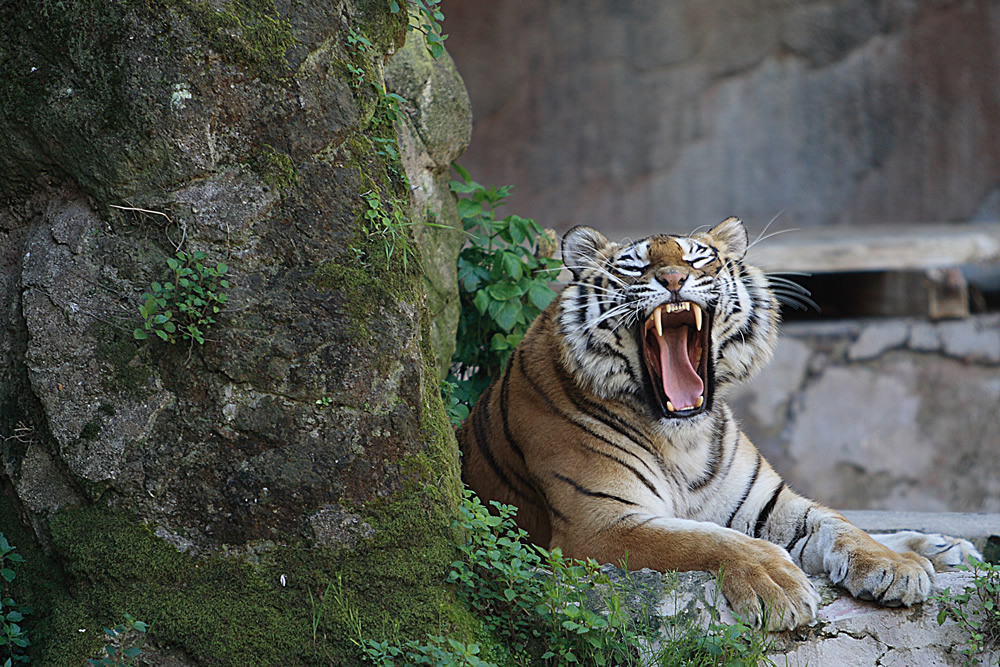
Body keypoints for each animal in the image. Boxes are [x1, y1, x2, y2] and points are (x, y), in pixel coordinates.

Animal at [457, 216, 980, 630]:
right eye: (634, 266)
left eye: (699, 259)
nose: (672, 278)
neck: (681, 437)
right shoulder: (600, 524)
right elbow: (704, 538)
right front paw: (779, 585)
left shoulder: (768, 503)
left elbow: (840, 524)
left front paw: (892, 566)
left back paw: (940, 547)